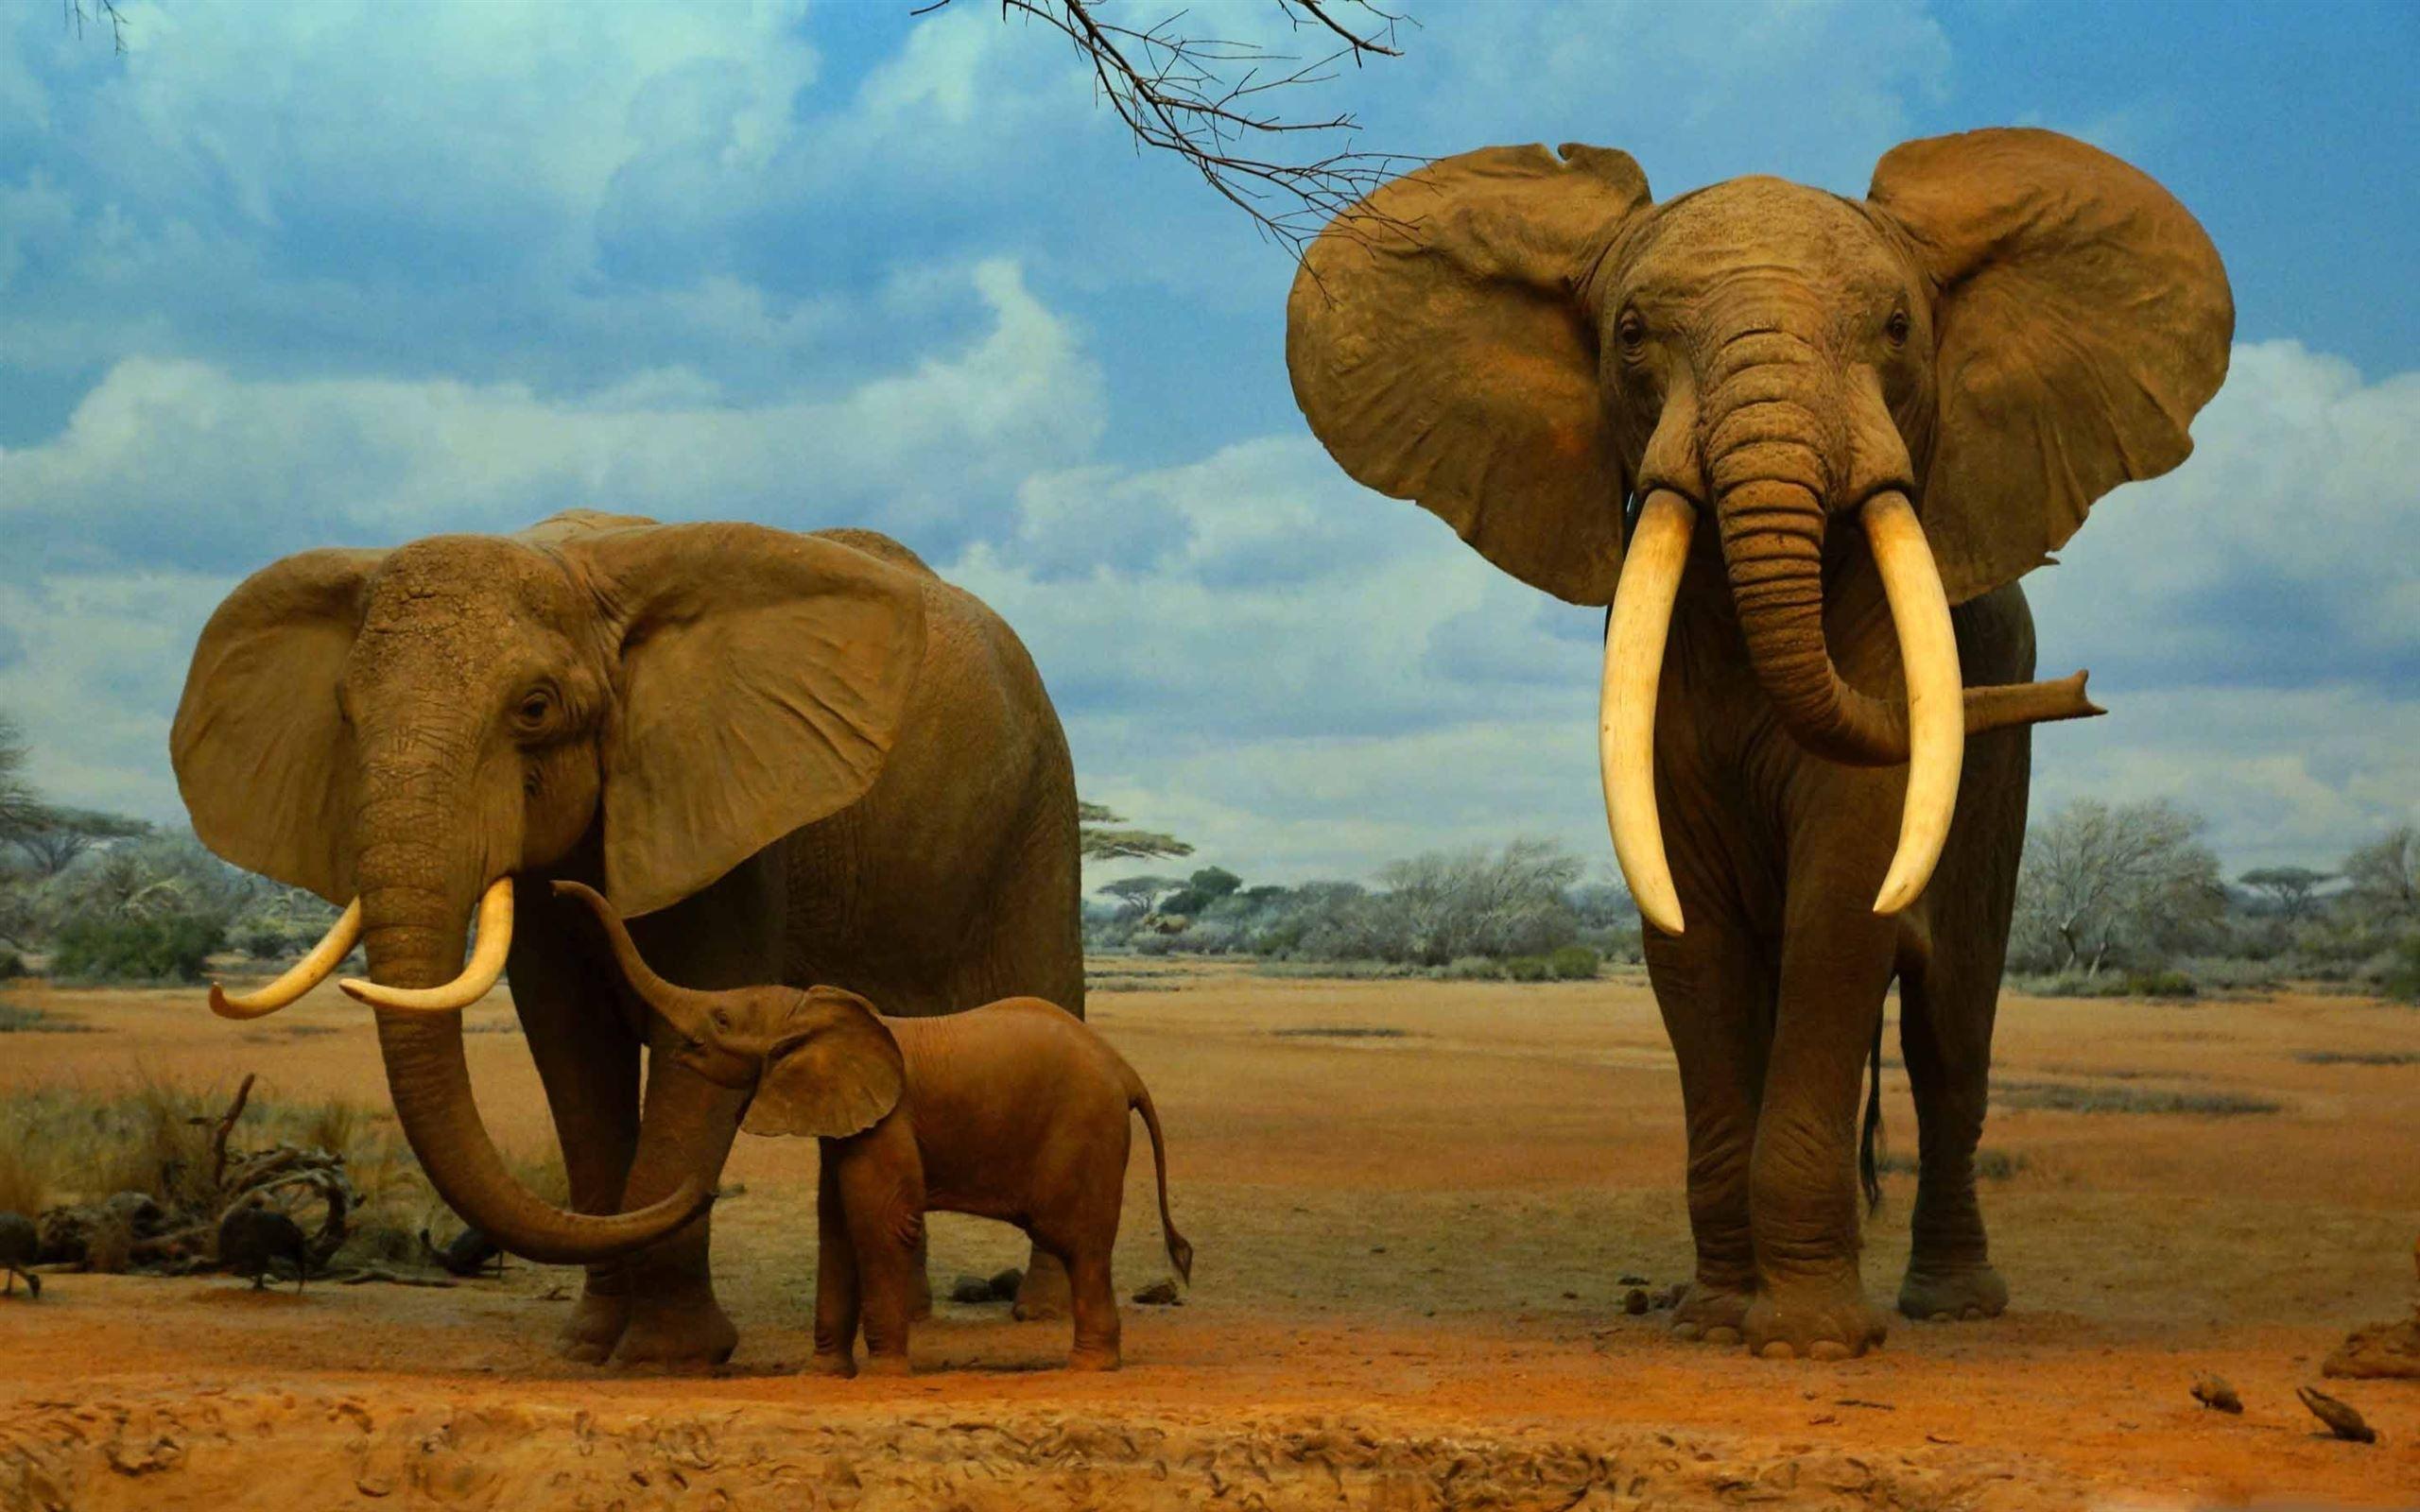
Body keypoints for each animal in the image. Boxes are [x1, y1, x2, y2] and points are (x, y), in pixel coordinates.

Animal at [170, 510, 1085, 1365]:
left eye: (535, 709)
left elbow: (700, 1027)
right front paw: (589, 1345)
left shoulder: (728, 808)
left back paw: (1041, 1313)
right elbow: (572, 1048)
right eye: (344, 716)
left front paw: (668, 1356)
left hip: (1041, 803)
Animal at [555, 880, 1192, 1375]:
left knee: (1078, 1243)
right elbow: (835, 1229)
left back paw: (1087, 1367)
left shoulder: (889, 1121)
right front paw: (820, 1376)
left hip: (1084, 1130)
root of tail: (1125, 1070)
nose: (558, 889)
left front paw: (885, 1373)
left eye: (722, 1019)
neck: (813, 1011)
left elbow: (880, 1224)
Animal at [1286, 128, 2232, 1358]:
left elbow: (1843, 905)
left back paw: (1951, 1304)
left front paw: (1808, 1341)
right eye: (1632, 333)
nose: (2075, 691)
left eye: (1897, 327)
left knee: (1951, 1031)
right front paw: (1716, 1320)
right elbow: (1689, 934)